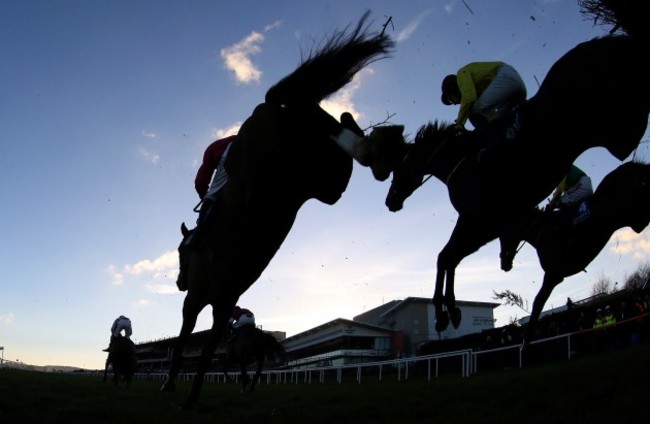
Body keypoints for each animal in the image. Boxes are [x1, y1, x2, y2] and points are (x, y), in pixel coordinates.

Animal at [161, 11, 394, 408]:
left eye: (179, 253)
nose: (178, 281)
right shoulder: (223, 302)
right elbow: (208, 348)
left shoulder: (198, 300)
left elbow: (186, 339)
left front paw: (174, 387)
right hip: (319, 179)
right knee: (331, 134)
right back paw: (369, 143)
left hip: (289, 154)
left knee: (305, 109)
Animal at [372, 0, 644, 338]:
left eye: (398, 171)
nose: (390, 201)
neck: (459, 162)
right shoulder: (488, 225)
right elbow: (448, 257)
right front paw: (451, 312)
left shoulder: (480, 222)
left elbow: (445, 257)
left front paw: (443, 314)